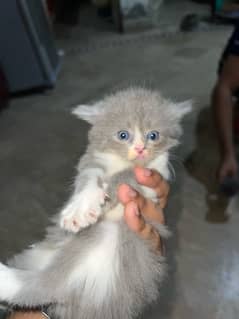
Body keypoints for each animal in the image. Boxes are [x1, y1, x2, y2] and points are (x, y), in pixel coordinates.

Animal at [0, 88, 190, 319]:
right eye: (123, 135)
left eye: (153, 135)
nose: (140, 149)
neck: (121, 161)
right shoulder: (91, 161)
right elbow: (88, 178)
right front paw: (80, 209)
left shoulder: (154, 177)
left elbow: (124, 177)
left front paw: (103, 198)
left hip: (106, 239)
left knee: (49, 286)